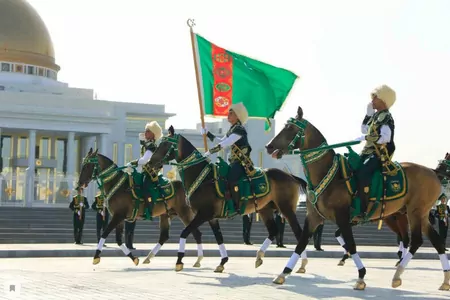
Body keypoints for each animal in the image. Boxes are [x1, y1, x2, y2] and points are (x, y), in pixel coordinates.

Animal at [145, 125, 310, 274]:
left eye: (165, 144)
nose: (150, 163)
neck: (203, 177)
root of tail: (291, 176)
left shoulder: (203, 214)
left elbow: (185, 233)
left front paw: (179, 261)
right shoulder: (211, 217)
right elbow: (219, 237)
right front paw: (222, 262)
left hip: (286, 209)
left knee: (298, 233)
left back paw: (301, 264)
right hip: (265, 209)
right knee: (274, 231)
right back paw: (260, 256)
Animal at [266, 106, 448, 290]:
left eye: (290, 128)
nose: (268, 146)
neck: (327, 172)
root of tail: (433, 172)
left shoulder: (342, 216)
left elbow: (351, 244)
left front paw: (361, 276)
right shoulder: (314, 217)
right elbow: (301, 243)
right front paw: (283, 273)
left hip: (414, 212)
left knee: (415, 240)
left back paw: (397, 274)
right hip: (421, 214)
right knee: (436, 241)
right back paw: (444, 280)